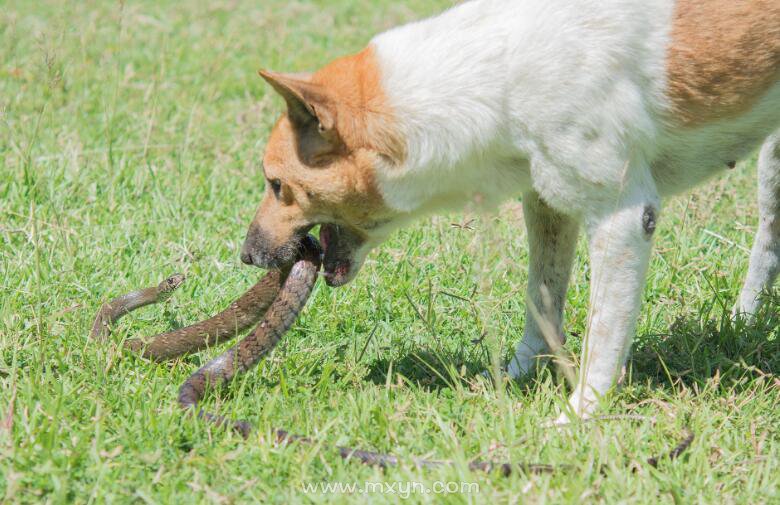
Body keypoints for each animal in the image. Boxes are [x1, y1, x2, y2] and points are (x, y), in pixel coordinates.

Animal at [239, 0, 780, 422]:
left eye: (276, 185)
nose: (246, 255)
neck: (497, 74)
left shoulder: (623, 218)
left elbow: (604, 333)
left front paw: (579, 416)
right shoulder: (546, 203)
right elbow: (541, 300)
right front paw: (515, 375)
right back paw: (744, 322)